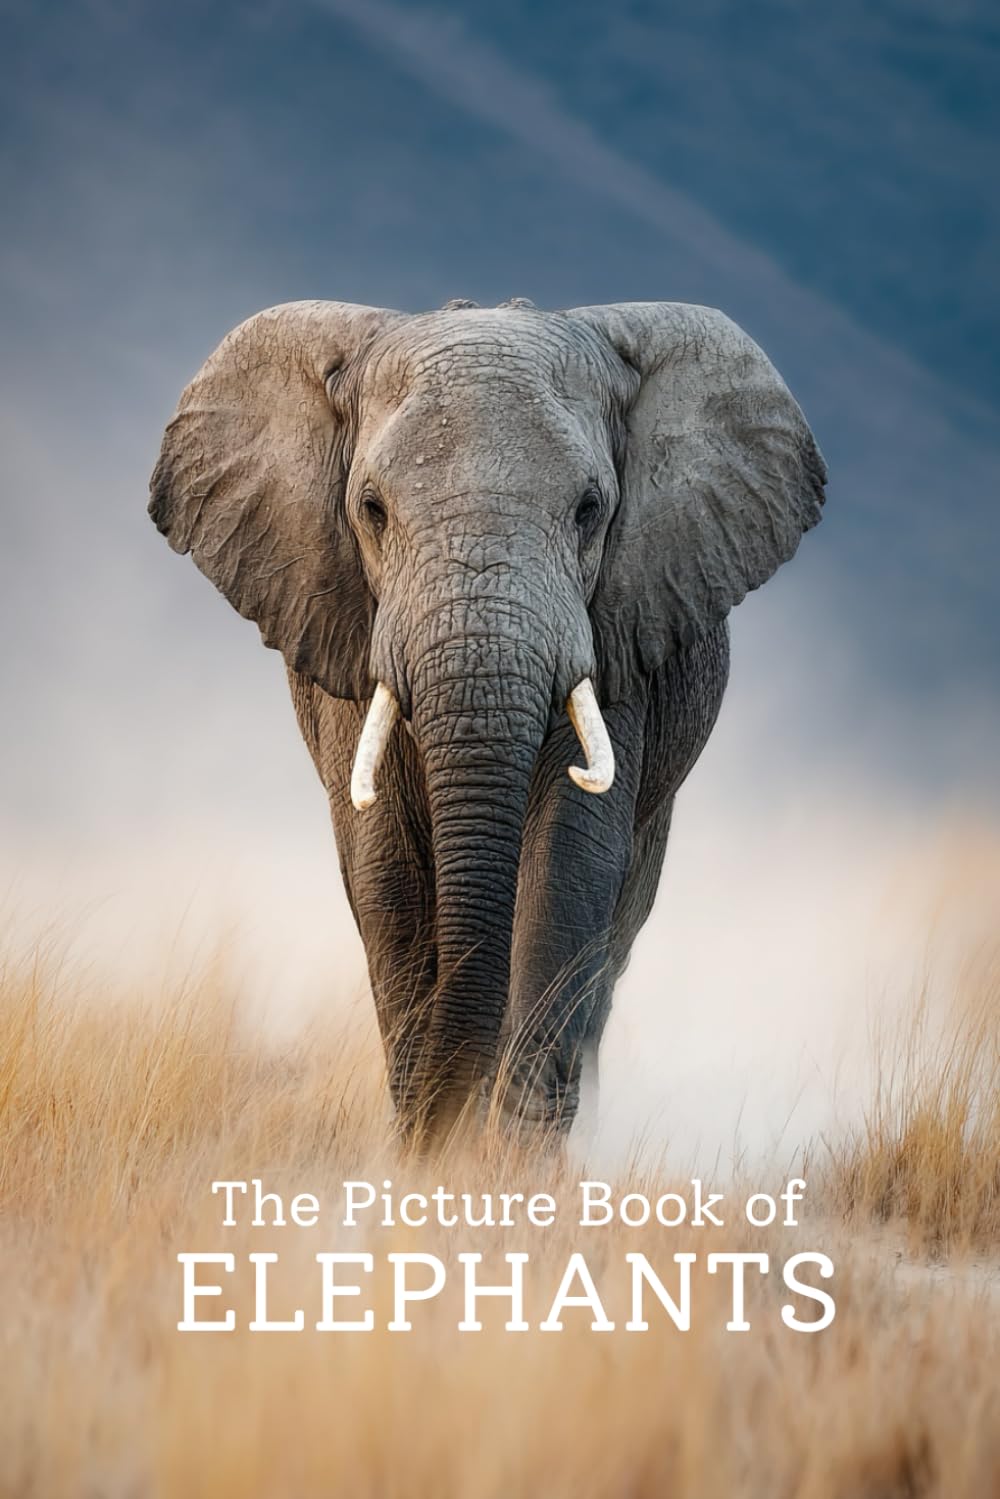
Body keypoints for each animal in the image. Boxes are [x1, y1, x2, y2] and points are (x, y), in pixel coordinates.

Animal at [150, 296, 826, 1147]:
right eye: (371, 510)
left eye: (590, 511)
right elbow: (385, 871)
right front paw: (424, 1151)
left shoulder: (617, 629)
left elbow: (568, 863)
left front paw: (511, 1160)